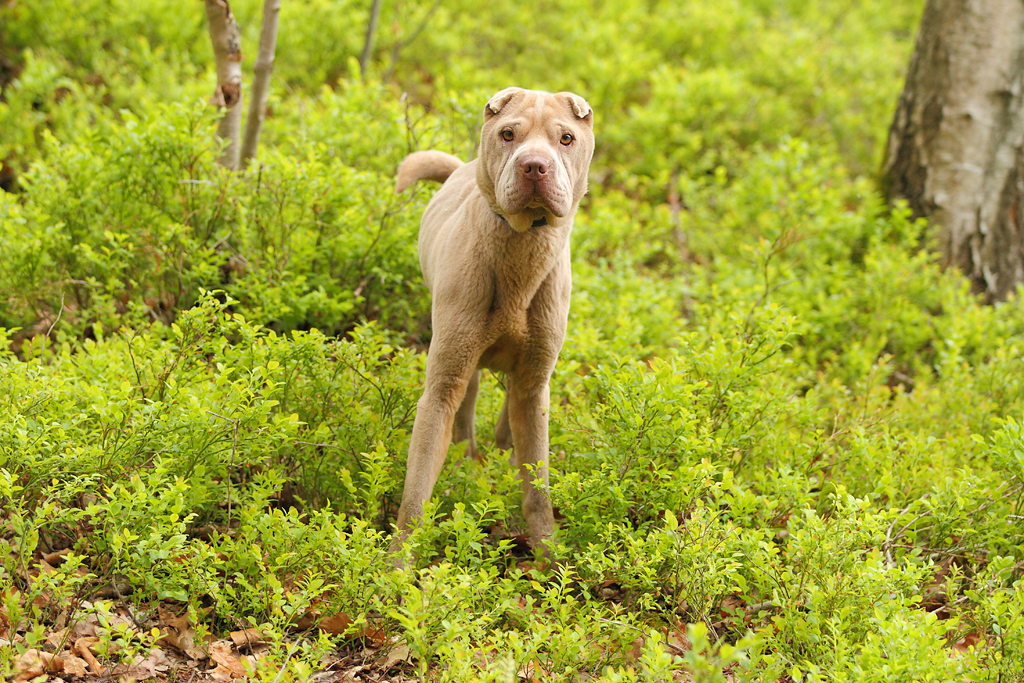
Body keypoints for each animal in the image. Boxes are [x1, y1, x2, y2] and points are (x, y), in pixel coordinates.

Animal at [393, 88, 598, 557]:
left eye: (566, 138)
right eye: (508, 134)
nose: (534, 166)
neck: (522, 245)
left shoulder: (534, 381)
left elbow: (538, 485)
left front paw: (549, 557)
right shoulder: (441, 385)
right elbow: (416, 491)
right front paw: (396, 565)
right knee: (467, 406)